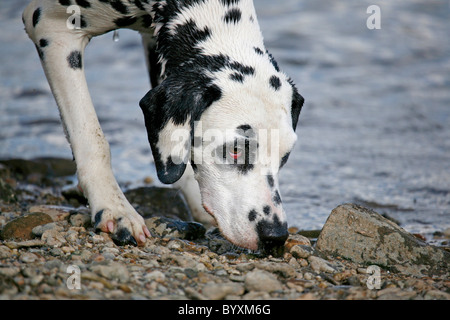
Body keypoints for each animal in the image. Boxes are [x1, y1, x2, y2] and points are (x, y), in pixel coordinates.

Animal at [21, 0, 302, 255]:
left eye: (285, 157)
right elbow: (91, 135)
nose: (275, 237)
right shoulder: (53, 29)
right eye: (234, 149)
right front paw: (114, 207)